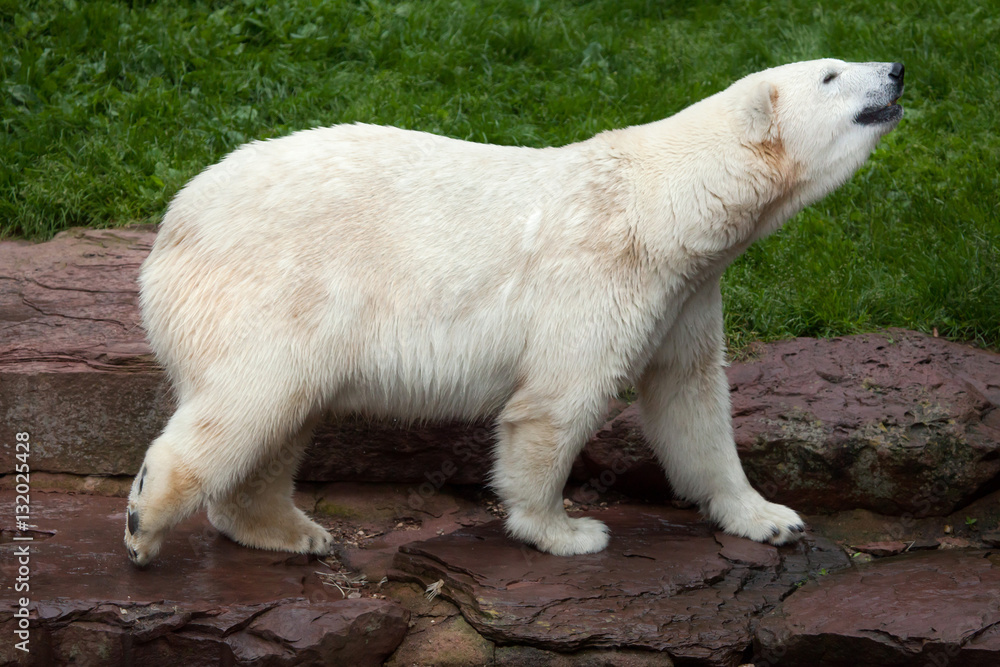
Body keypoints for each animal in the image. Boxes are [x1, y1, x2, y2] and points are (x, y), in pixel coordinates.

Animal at [125, 58, 904, 566]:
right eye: (831, 75)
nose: (896, 69)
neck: (663, 208)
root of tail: (175, 220)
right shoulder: (600, 275)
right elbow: (557, 403)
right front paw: (564, 531)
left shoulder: (687, 294)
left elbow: (693, 403)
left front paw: (769, 518)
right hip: (272, 290)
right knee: (254, 397)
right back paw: (144, 519)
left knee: (283, 418)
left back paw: (288, 530)